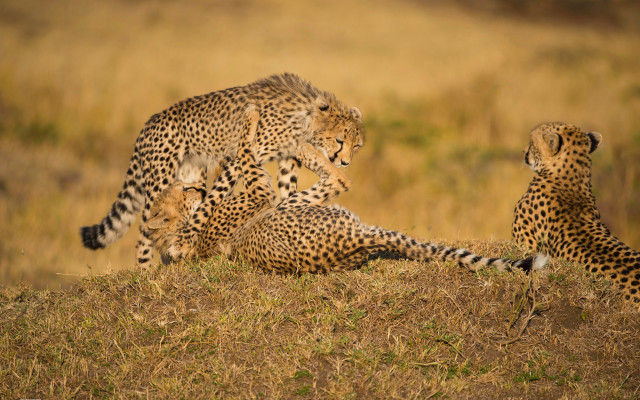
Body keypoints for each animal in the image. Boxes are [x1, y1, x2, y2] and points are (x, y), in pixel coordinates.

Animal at [80, 73, 364, 268]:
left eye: (357, 146)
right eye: (340, 141)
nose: (345, 162)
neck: (305, 117)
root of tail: (148, 124)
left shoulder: (286, 161)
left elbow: (287, 192)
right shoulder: (236, 159)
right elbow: (212, 201)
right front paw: (184, 242)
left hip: (190, 173)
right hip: (160, 179)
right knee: (145, 233)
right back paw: (146, 272)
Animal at [146, 105, 547, 275]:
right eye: (182, 192)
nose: (196, 186)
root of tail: (356, 241)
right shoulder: (264, 194)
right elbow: (251, 152)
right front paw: (253, 117)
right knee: (335, 183)